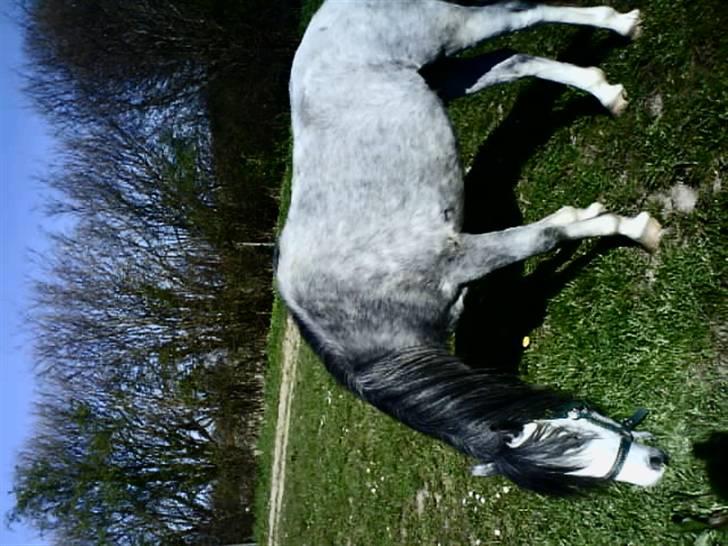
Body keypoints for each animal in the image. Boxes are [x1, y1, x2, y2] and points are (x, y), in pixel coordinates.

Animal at [276, 0, 667, 494]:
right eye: (569, 443)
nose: (657, 464)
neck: (363, 320)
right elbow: (557, 231)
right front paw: (592, 216)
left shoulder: (461, 255)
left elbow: (547, 236)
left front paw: (638, 229)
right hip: (444, 76)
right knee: (514, 60)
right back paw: (605, 91)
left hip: (457, 32)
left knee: (525, 17)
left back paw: (621, 25)